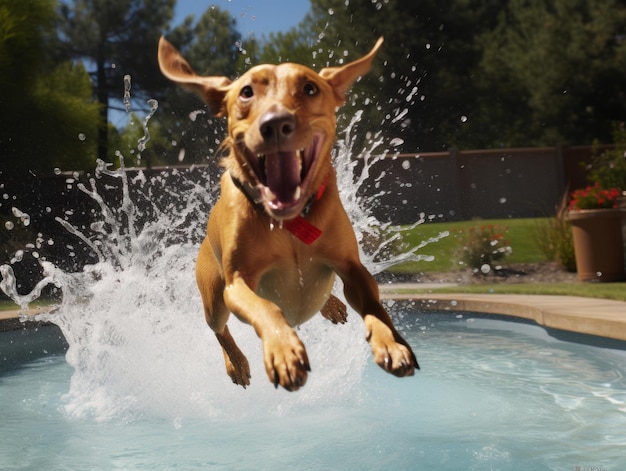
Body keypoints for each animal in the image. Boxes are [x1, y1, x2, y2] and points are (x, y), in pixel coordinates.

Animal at [158, 36, 416, 390]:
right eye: (246, 92)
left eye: (309, 88)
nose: (276, 123)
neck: (288, 223)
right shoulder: (237, 284)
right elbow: (267, 308)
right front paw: (283, 350)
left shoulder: (353, 269)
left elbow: (375, 306)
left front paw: (390, 342)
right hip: (213, 298)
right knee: (219, 328)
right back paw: (236, 363)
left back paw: (331, 306)